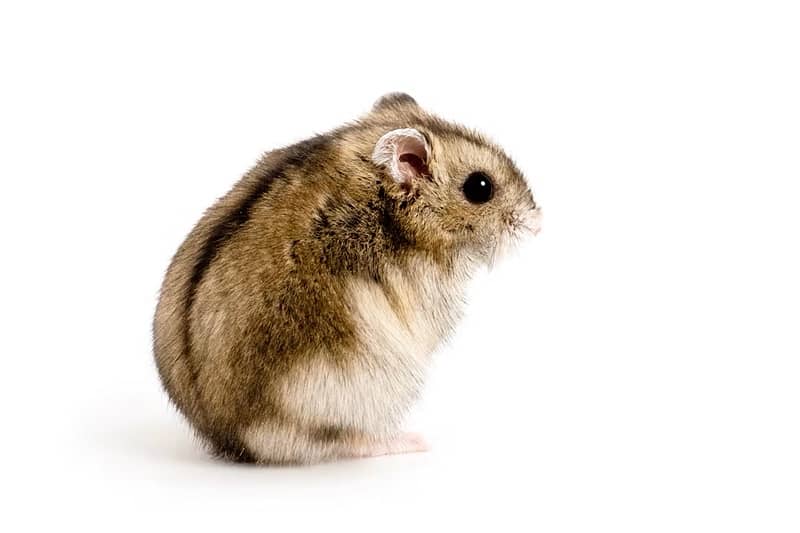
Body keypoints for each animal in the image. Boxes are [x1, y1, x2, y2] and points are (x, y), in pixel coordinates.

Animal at [153, 93, 541, 464]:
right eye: (480, 187)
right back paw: (411, 441)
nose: (539, 221)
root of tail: (233, 437)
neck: (383, 197)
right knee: (340, 441)